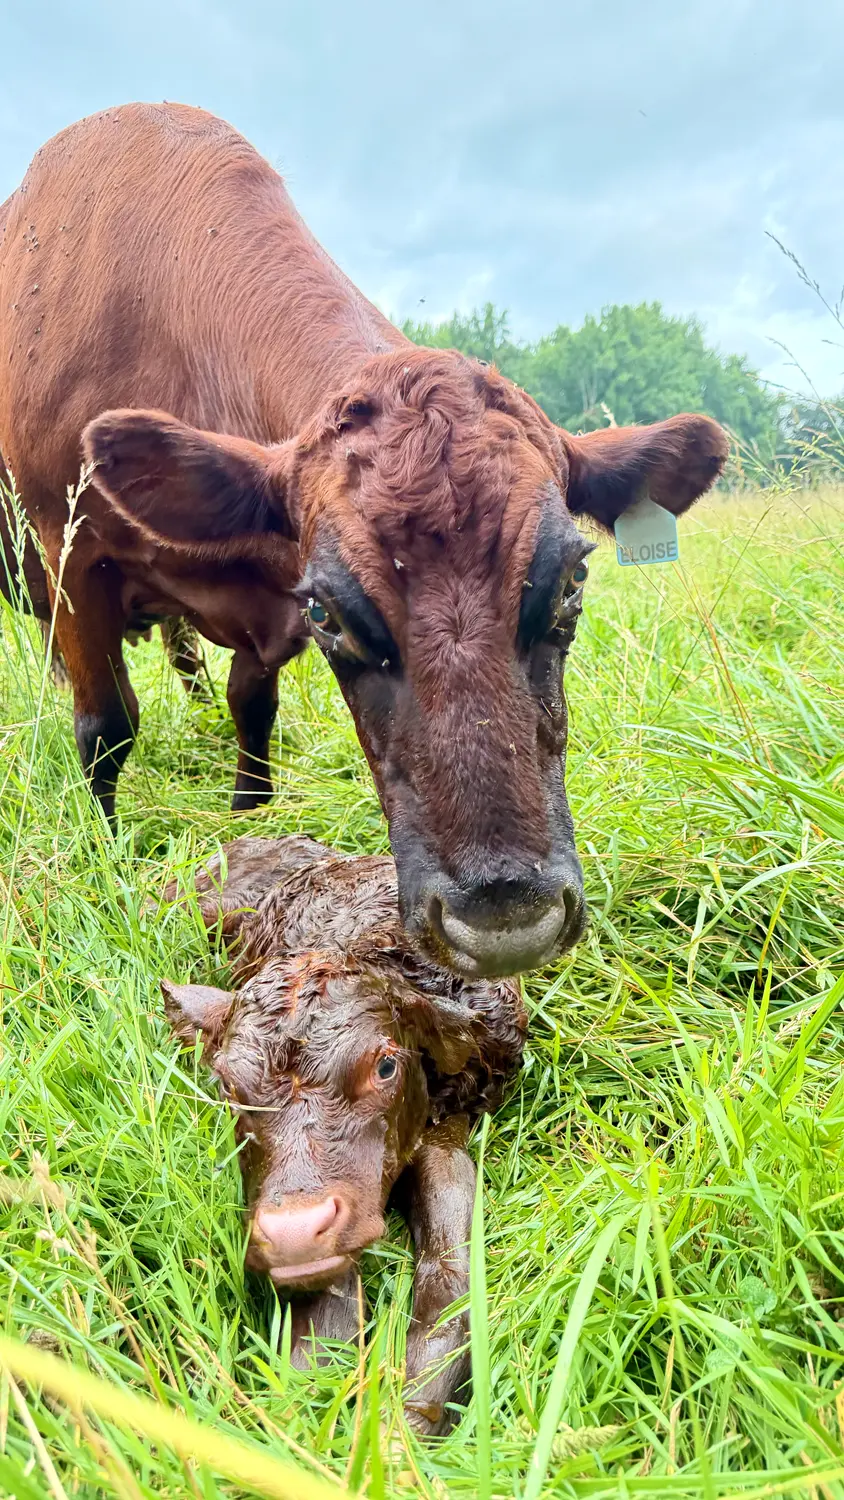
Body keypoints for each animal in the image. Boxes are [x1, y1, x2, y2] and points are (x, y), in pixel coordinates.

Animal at [0, 104, 729, 978]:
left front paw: (247, 822)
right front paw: (108, 857)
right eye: (330, 614)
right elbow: (106, 729)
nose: (506, 922)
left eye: (572, 582)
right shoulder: (70, 551)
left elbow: (252, 709)